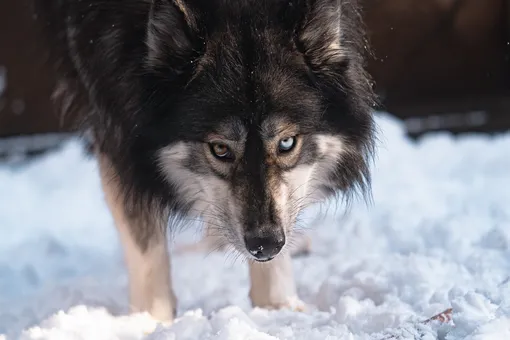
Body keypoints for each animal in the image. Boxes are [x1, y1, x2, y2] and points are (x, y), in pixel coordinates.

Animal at [31, 0, 374, 324]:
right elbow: (144, 240)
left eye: (286, 143)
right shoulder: (117, 129)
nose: (264, 245)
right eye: (220, 149)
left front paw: (278, 307)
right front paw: (151, 323)